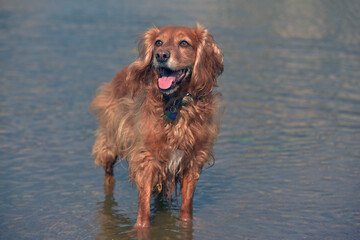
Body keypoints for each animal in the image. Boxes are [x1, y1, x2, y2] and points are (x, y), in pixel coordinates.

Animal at [90, 23, 224, 228]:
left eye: (184, 43)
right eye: (158, 42)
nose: (161, 55)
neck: (175, 104)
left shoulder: (192, 161)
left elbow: (186, 207)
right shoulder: (147, 159)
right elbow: (144, 211)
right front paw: (142, 228)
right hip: (110, 145)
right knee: (108, 175)